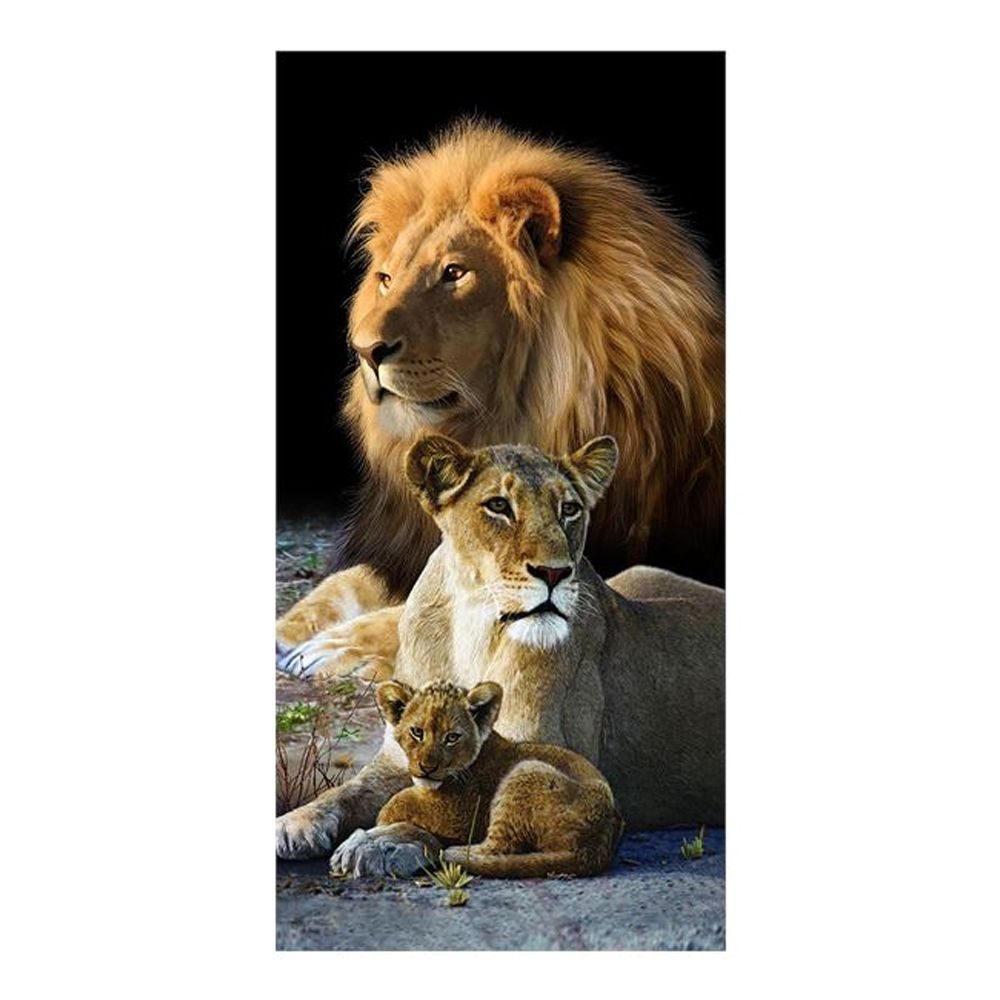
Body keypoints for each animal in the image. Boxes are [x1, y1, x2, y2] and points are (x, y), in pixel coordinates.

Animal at [330, 679, 623, 879]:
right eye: (417, 732)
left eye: (452, 737)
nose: (427, 768)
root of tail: (598, 844)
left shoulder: (460, 816)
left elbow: (399, 802)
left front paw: (382, 824)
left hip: (525, 770)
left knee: (499, 847)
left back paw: (452, 853)